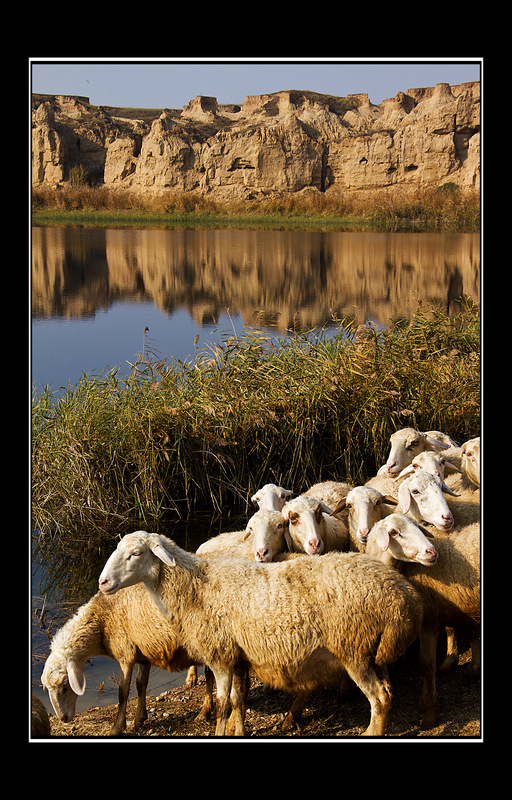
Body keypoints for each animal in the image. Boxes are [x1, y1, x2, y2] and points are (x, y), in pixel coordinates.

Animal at [39, 580, 209, 736]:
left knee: (209, 675)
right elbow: (141, 685)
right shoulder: (144, 652)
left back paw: (205, 711)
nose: (63, 718)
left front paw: (117, 728)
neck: (102, 617)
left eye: (65, 686)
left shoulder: (125, 655)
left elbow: (123, 692)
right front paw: (138, 720)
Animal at [99, 532, 424, 736]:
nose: (102, 583)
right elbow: (237, 700)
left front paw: (220, 732)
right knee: (388, 691)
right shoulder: (237, 656)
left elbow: (221, 705)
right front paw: (239, 731)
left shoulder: (220, 657)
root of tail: (405, 595)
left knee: (379, 697)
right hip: (375, 649)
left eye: (136, 553)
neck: (196, 589)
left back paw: (372, 732)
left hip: (354, 647)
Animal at [364, 516, 480, 728]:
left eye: (418, 526)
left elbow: (426, 665)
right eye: (393, 532)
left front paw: (430, 713)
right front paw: (424, 703)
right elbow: (423, 663)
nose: (431, 551)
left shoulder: (429, 622)